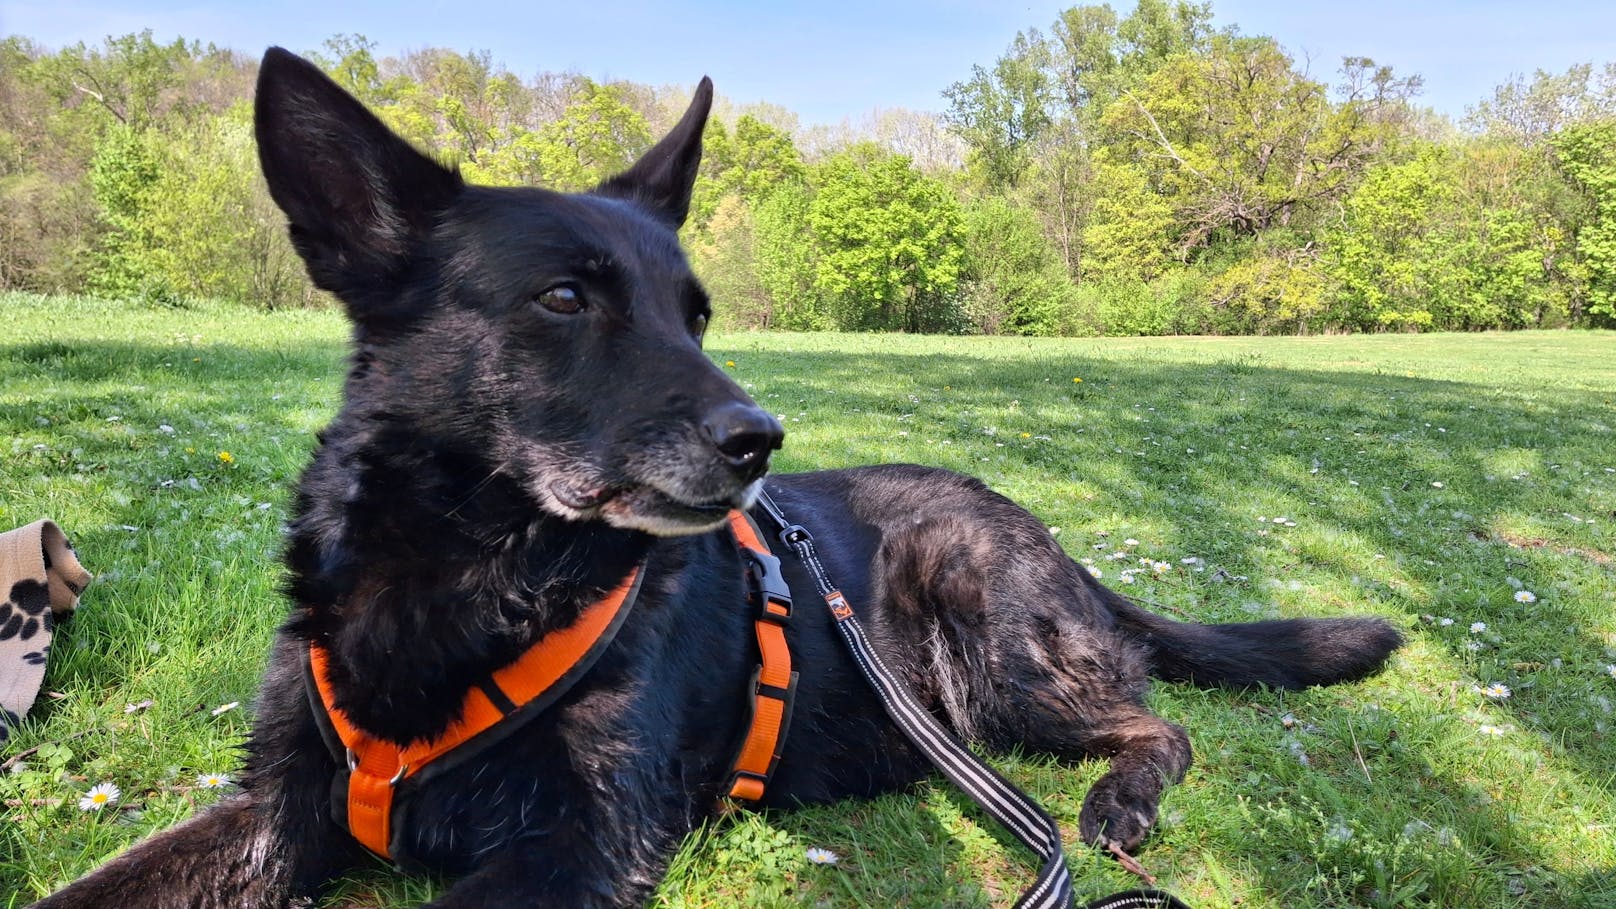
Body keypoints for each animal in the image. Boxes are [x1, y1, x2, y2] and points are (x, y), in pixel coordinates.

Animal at [37, 51, 1402, 905]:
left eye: (694, 314)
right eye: (566, 299)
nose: (761, 444)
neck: (468, 573)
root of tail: (1050, 540)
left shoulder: (578, 840)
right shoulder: (276, 807)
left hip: (992, 638)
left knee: (1156, 720)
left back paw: (1120, 801)